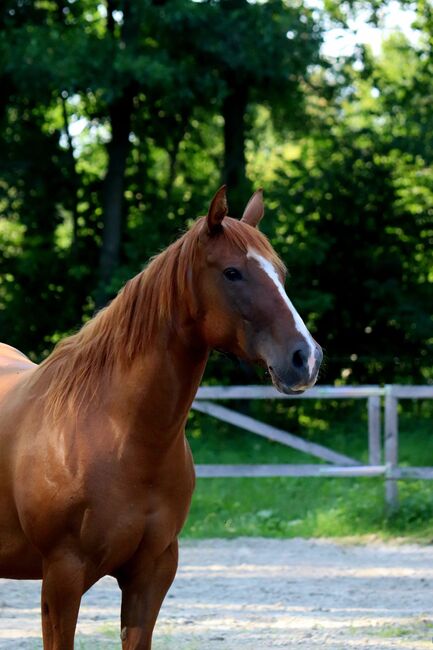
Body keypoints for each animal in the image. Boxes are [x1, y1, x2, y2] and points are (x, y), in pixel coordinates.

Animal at [0, 185, 320, 644]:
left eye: (280, 274)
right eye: (232, 273)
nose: (305, 358)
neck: (117, 435)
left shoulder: (152, 574)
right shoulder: (62, 577)